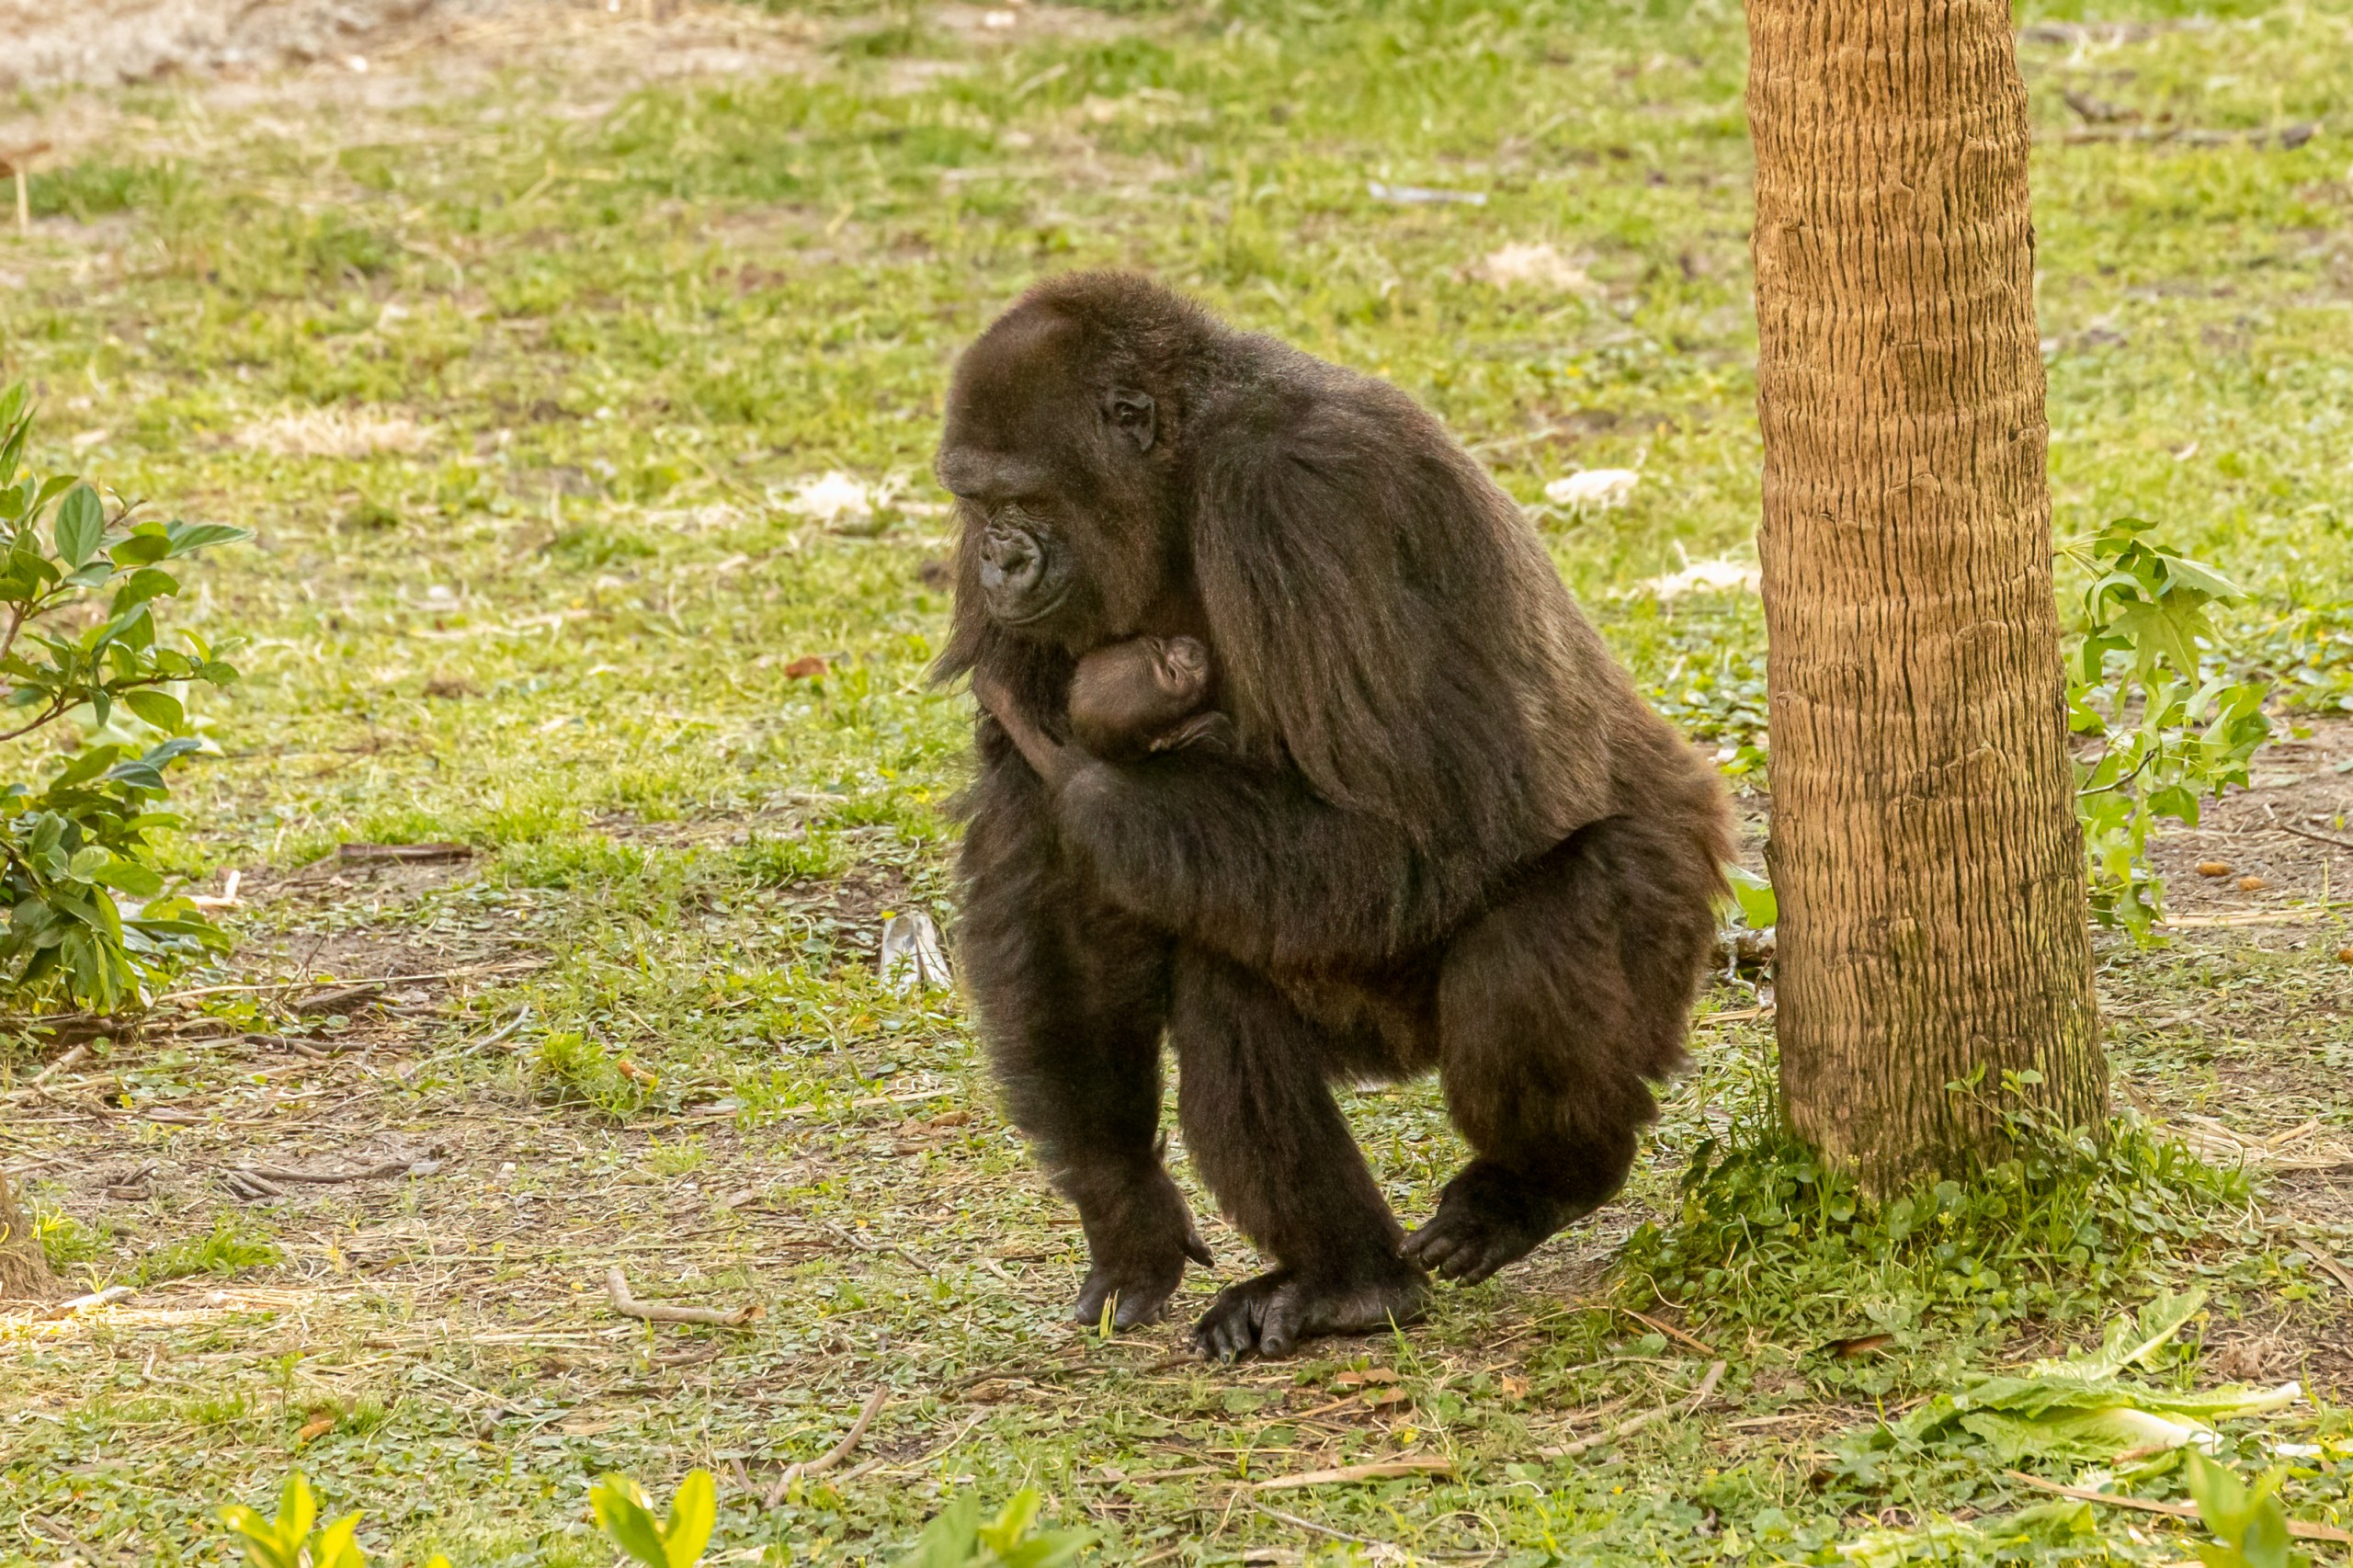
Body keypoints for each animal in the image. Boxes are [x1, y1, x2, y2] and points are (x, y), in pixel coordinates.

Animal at [935, 271, 1734, 1360]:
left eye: (1024, 499)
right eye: (974, 504)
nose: (996, 562)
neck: (1182, 467)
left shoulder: (1296, 496)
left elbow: (1416, 818)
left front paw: (1087, 782)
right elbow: (1042, 884)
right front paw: (1124, 1203)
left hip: (1669, 898)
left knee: (1529, 953)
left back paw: (1539, 1180)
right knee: (1226, 985)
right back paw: (1349, 1276)